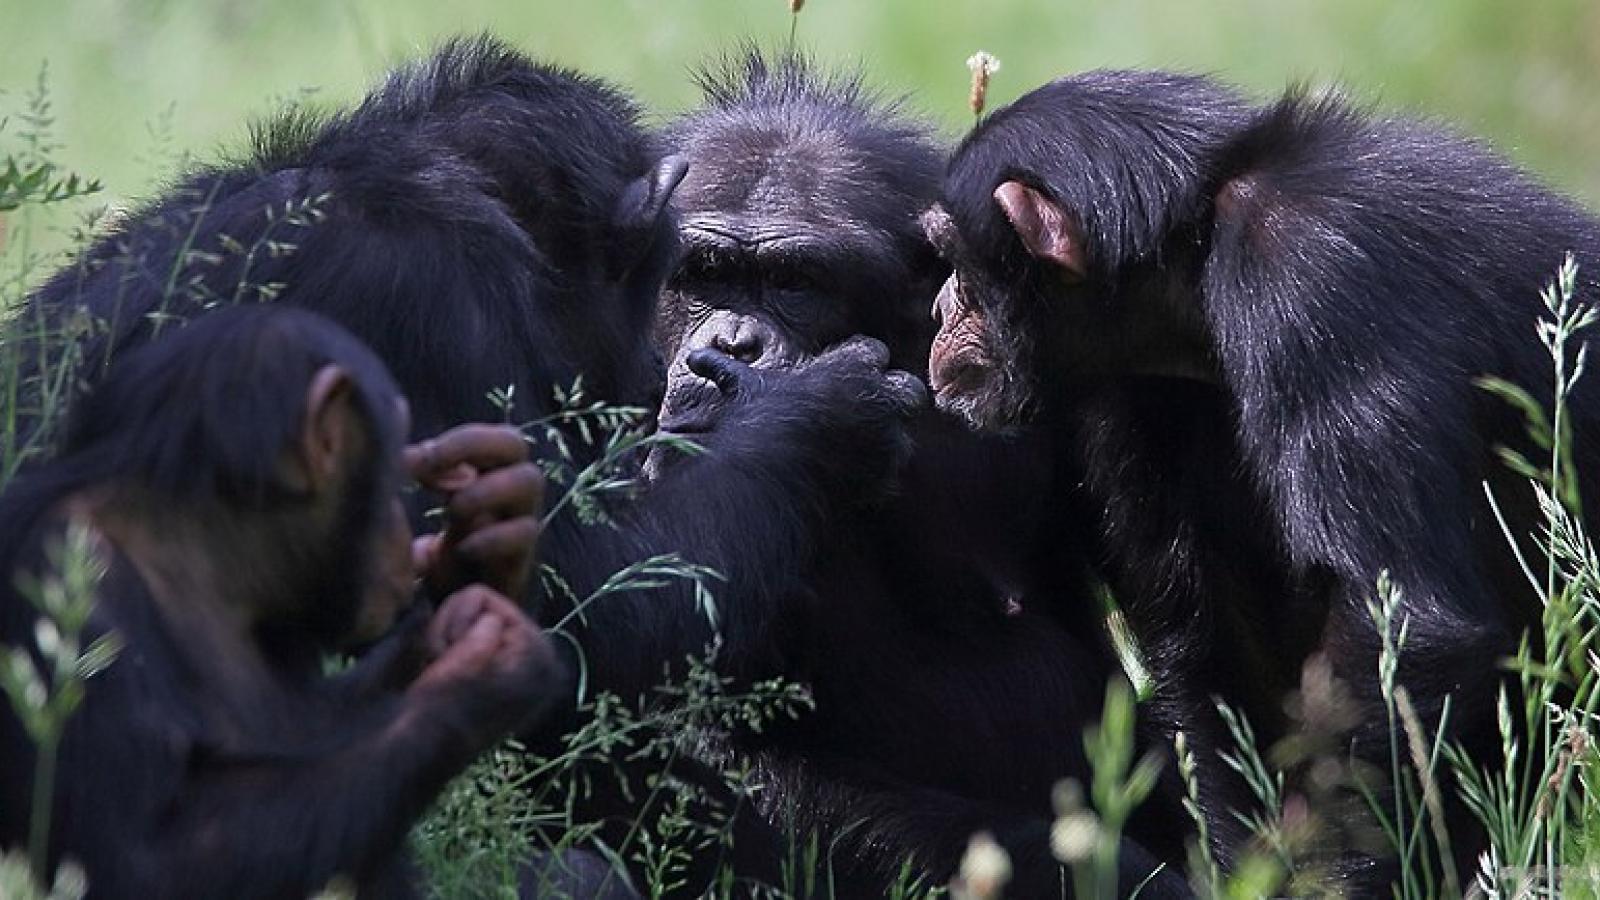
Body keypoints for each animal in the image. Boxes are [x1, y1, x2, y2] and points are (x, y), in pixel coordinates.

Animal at [0, 304, 563, 890]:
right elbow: (139, 860)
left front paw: (493, 533)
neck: (199, 553)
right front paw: (485, 672)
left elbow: (327, 716)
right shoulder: (63, 579)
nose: (400, 530)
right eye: (390, 467)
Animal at [921, 70, 1600, 883]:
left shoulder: (1310, 283)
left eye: (954, 257)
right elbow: (1216, 640)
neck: (1192, 245)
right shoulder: (1128, 394)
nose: (939, 309)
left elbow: (1405, 628)